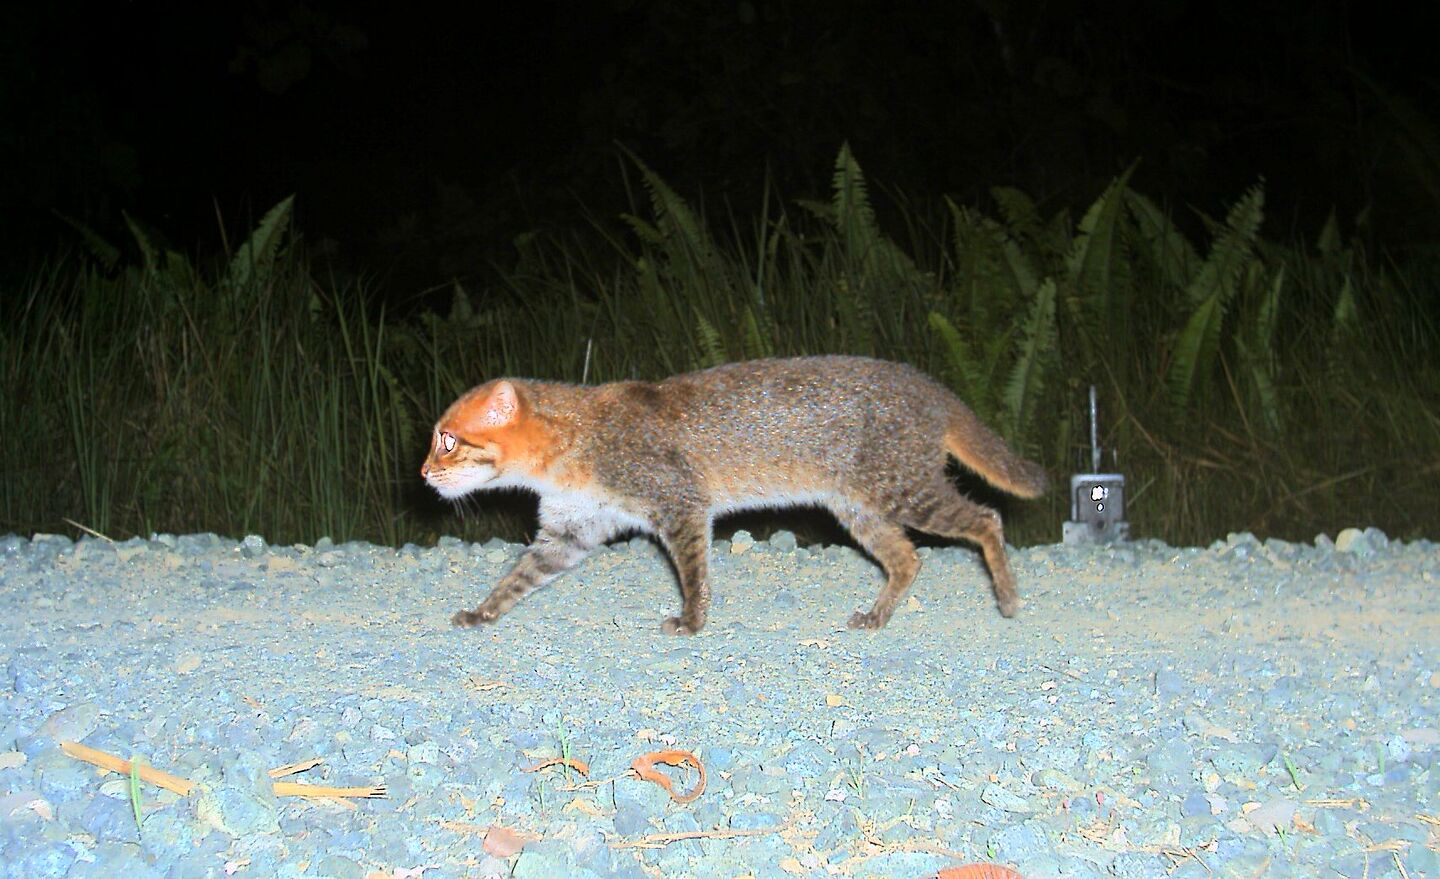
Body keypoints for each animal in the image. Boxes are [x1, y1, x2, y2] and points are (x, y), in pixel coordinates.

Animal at [420, 353, 1048, 634]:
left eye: (448, 441)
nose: (423, 474)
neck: (576, 443)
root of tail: (933, 388)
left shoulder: (680, 505)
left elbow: (695, 574)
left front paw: (692, 621)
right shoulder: (570, 530)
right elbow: (516, 579)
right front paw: (482, 611)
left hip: (903, 491)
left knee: (986, 521)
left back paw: (1008, 597)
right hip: (860, 509)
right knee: (909, 560)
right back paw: (877, 615)